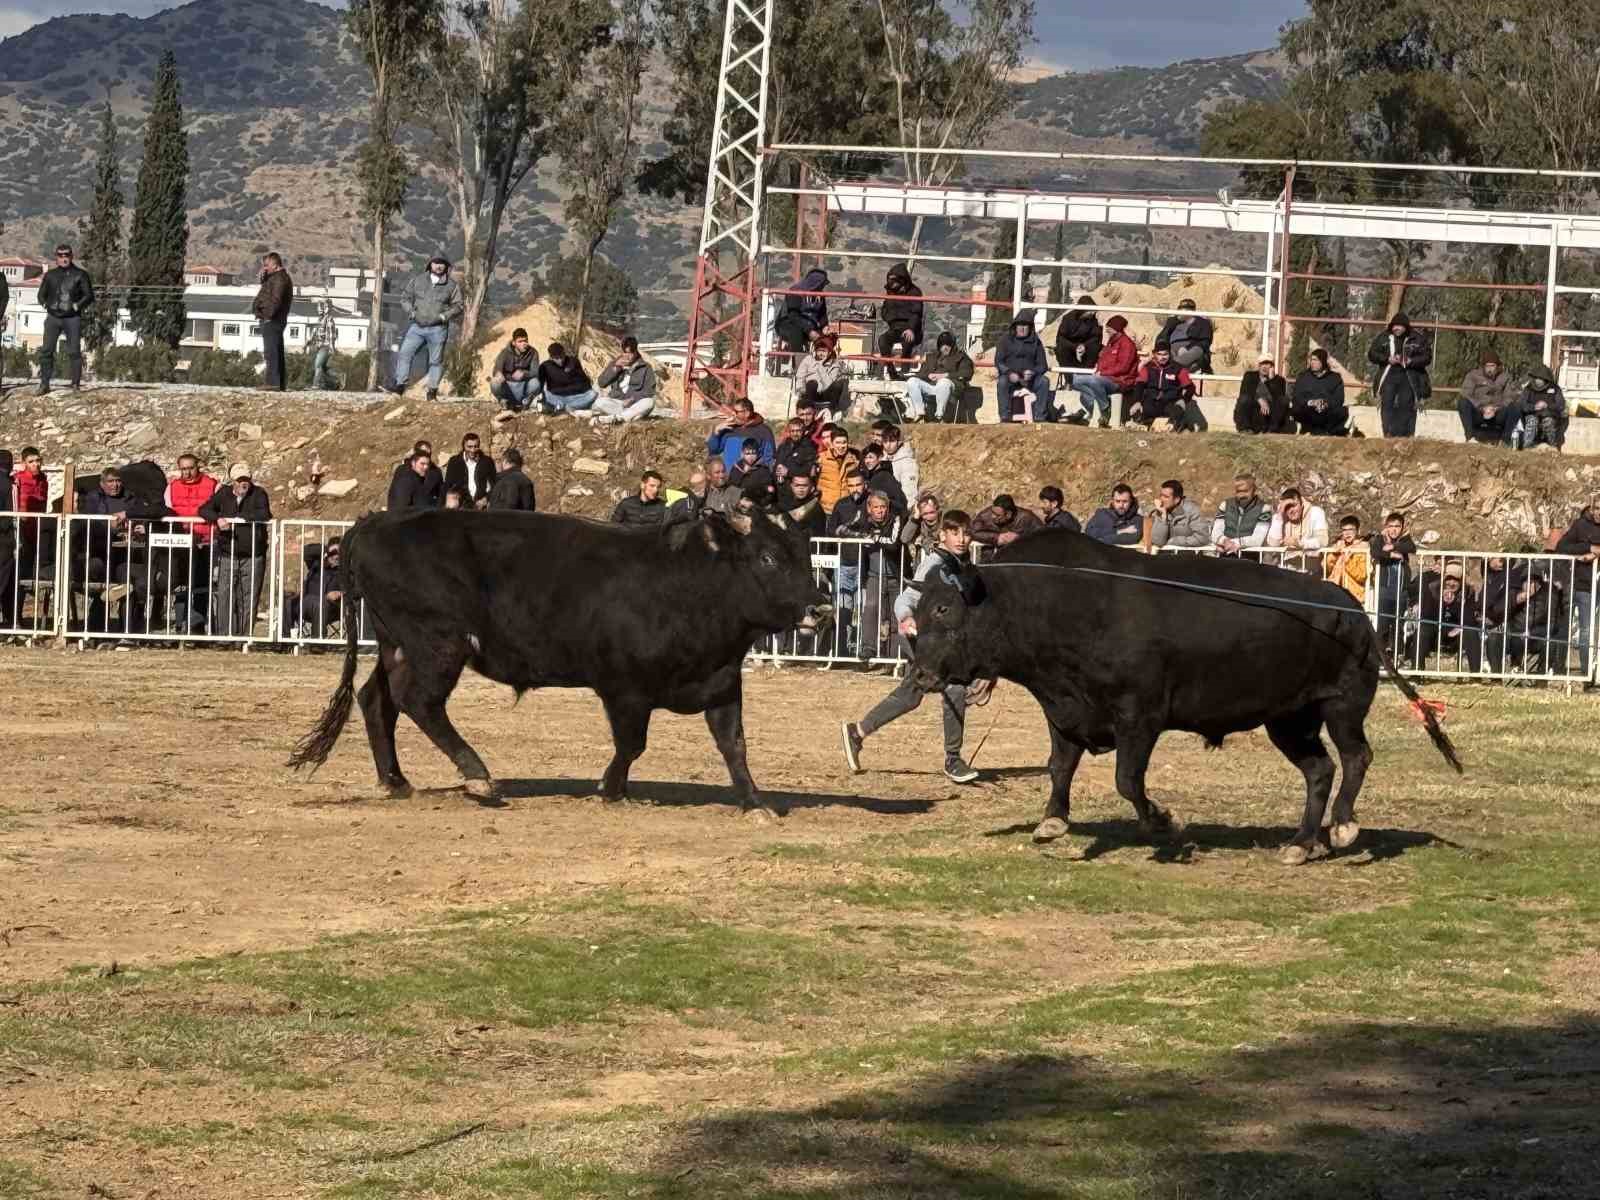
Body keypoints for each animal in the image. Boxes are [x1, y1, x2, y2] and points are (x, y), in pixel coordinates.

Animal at [288, 508, 832, 819]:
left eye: (804, 553)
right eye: (766, 558)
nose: (820, 607)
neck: (688, 581)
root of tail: (376, 522)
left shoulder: (721, 683)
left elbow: (734, 745)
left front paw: (754, 801)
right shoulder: (624, 689)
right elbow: (632, 744)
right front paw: (609, 789)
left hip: (397, 643)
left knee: (376, 699)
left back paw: (396, 780)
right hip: (437, 643)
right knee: (418, 701)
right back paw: (478, 775)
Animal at [902, 534, 1465, 864]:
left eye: (946, 610)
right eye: (921, 611)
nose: (921, 674)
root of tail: (1351, 607)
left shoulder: (1139, 716)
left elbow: (1128, 780)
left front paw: (1163, 822)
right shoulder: (1063, 711)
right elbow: (1059, 766)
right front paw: (1052, 822)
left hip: (1342, 704)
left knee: (1355, 756)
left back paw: (1344, 827)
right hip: (1289, 719)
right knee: (1319, 769)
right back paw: (1302, 843)